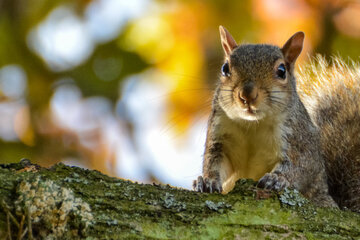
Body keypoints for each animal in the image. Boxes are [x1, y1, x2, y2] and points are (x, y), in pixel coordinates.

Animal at [191, 25, 346, 208]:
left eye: (282, 71)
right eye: (225, 68)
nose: (247, 95)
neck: (253, 124)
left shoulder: (298, 137)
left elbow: (302, 165)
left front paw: (277, 179)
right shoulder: (220, 135)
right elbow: (215, 161)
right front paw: (207, 181)